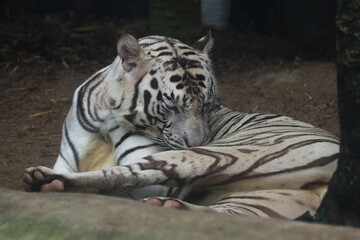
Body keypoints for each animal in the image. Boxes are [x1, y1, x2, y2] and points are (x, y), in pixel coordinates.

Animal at [23, 32, 338, 220]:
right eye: (171, 106)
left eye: (208, 106)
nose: (198, 141)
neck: (107, 116)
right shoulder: (66, 159)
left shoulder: (154, 183)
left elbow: (126, 178)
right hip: (267, 198)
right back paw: (171, 207)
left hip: (225, 154)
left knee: (128, 173)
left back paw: (47, 181)